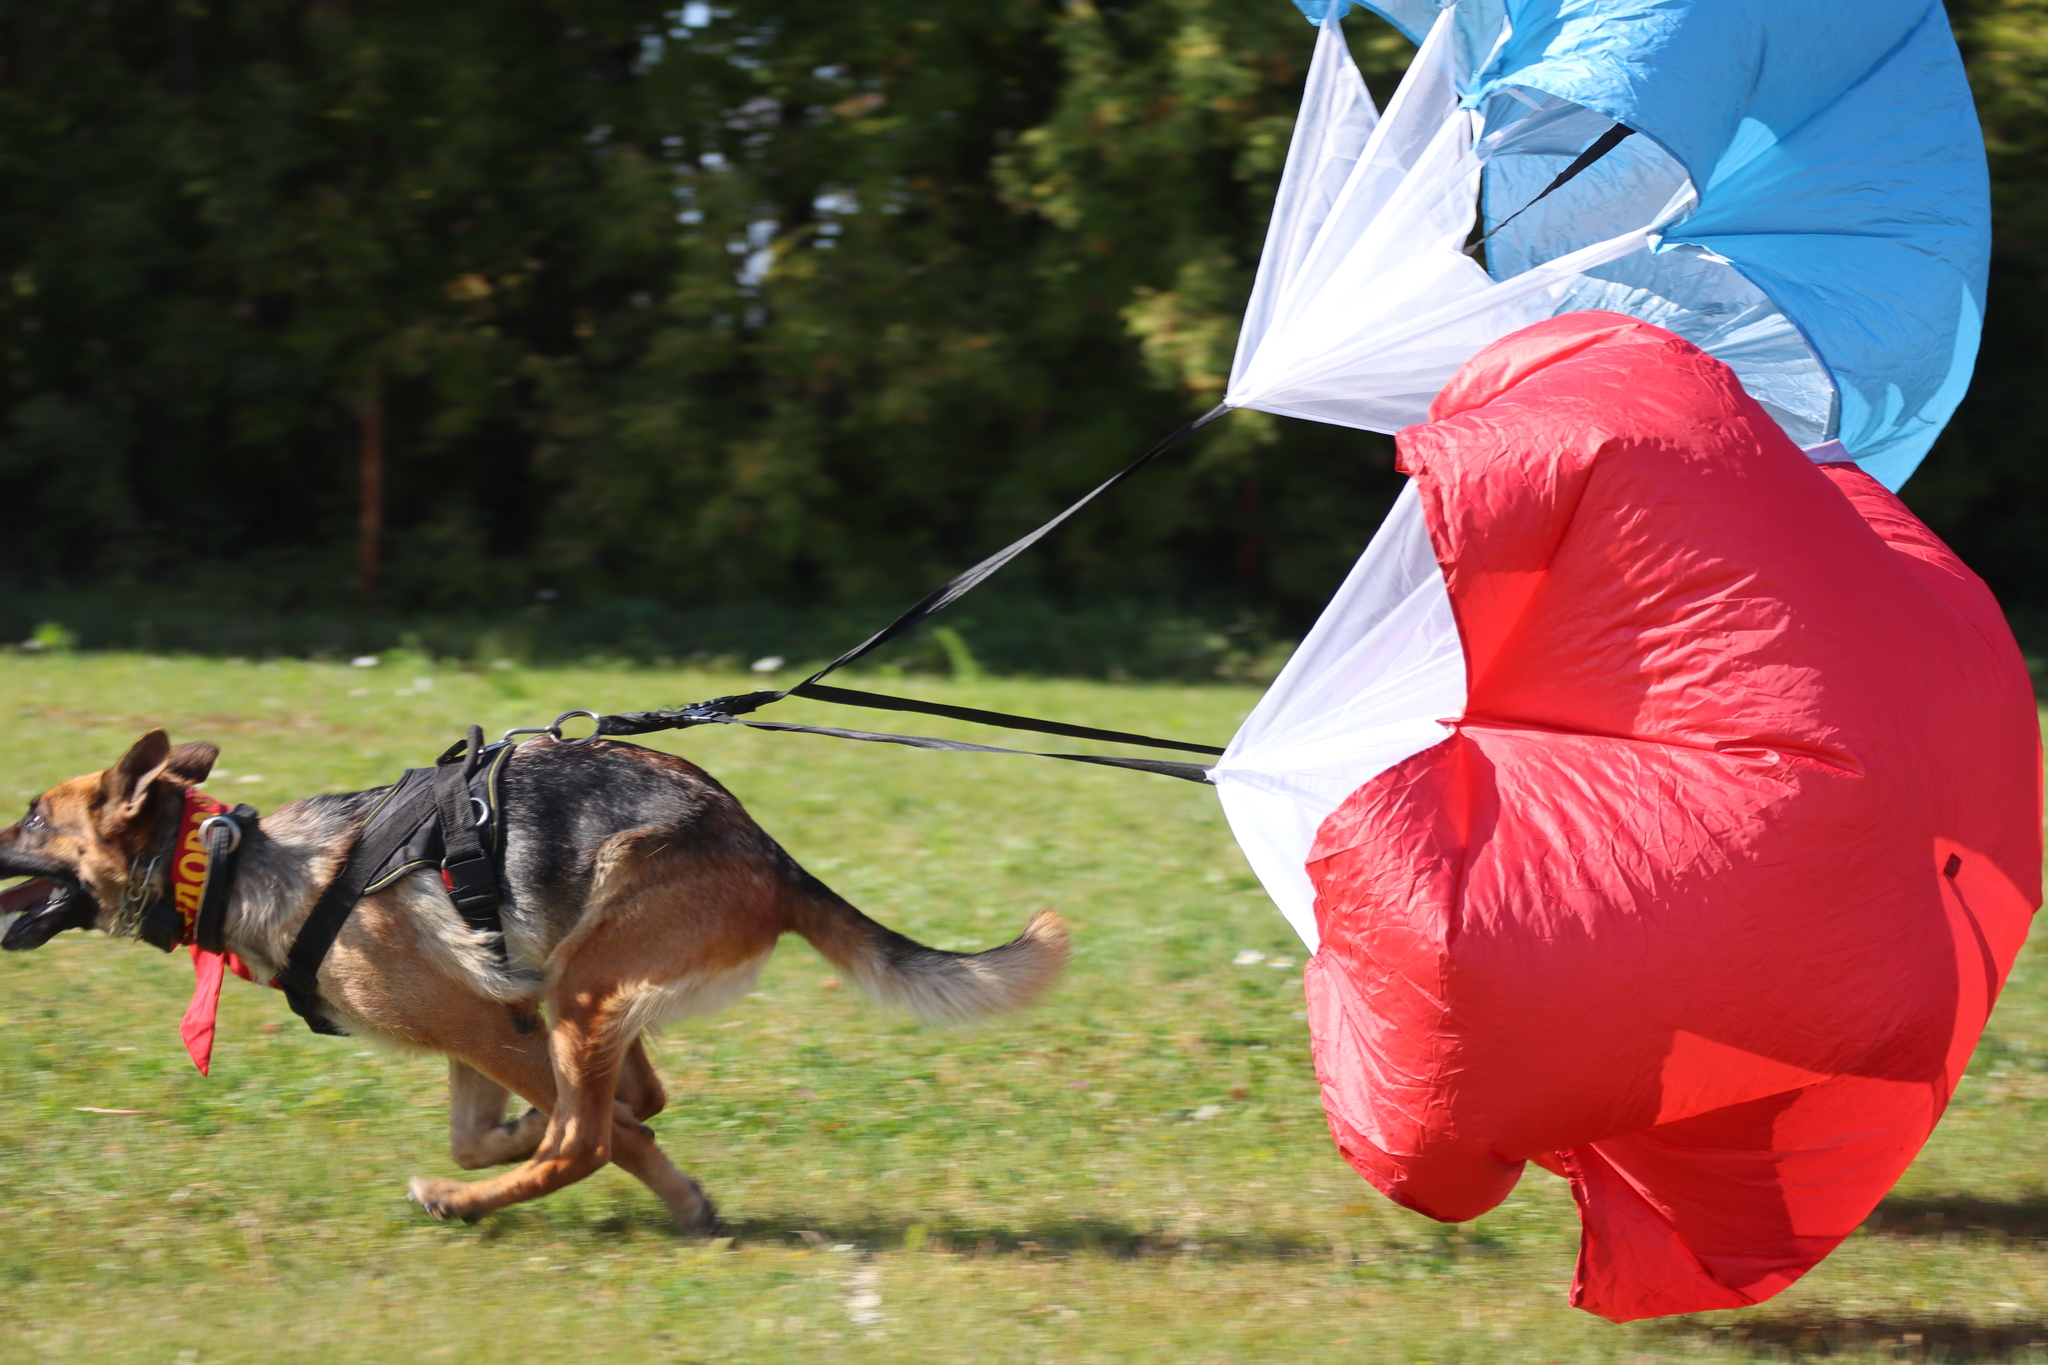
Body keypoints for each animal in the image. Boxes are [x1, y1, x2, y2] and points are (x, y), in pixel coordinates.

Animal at [0, 732, 1073, 1236]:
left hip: (583, 991)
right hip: (576, 990)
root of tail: (766, 849)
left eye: (31, 816)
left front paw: (658, 1186)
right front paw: (540, 1140)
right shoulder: (484, 1026)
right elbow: (488, 1130)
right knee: (626, 1098)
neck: (232, 862)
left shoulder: (483, 1028)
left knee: (587, 1138)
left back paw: (470, 1196)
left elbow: (587, 1138)